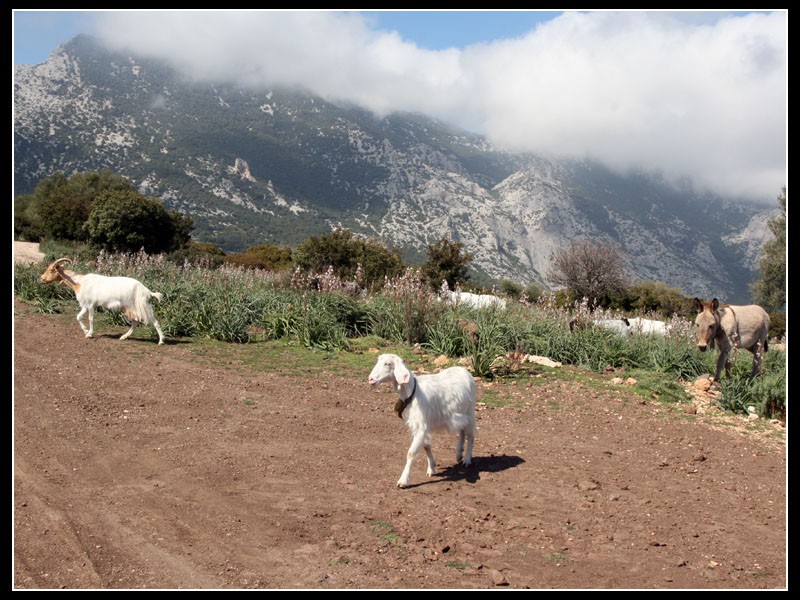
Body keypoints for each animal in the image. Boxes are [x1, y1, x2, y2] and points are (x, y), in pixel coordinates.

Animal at [368, 352, 476, 488]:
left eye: (388, 364)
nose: (370, 379)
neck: (413, 392)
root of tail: (465, 371)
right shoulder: (419, 426)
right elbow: (426, 446)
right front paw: (432, 468)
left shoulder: (421, 426)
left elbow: (411, 453)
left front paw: (403, 480)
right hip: (460, 413)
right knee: (462, 431)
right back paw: (458, 454)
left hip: (470, 411)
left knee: (471, 435)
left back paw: (467, 459)